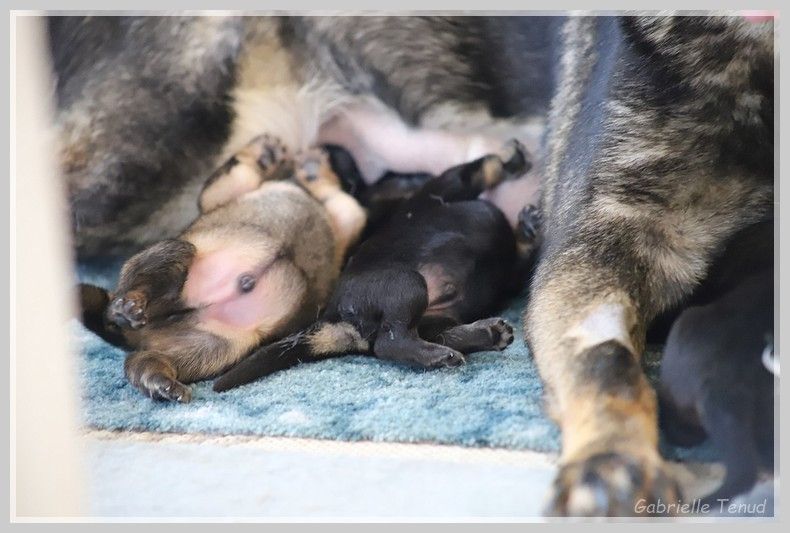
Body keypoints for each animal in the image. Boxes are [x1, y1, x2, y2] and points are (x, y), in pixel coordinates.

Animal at [79, 135, 366, 402]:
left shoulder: (344, 220)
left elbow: (344, 204)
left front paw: (310, 167)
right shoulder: (224, 192)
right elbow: (241, 171)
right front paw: (270, 155)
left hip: (215, 348)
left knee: (142, 361)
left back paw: (158, 381)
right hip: (178, 251)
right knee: (134, 290)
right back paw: (127, 307)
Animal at [213, 138, 540, 390]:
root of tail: (335, 316)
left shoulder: (509, 272)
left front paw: (528, 227)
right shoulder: (447, 186)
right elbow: (479, 169)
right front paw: (511, 160)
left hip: (438, 316)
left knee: (429, 335)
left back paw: (485, 334)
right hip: (407, 284)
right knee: (389, 342)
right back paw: (442, 355)